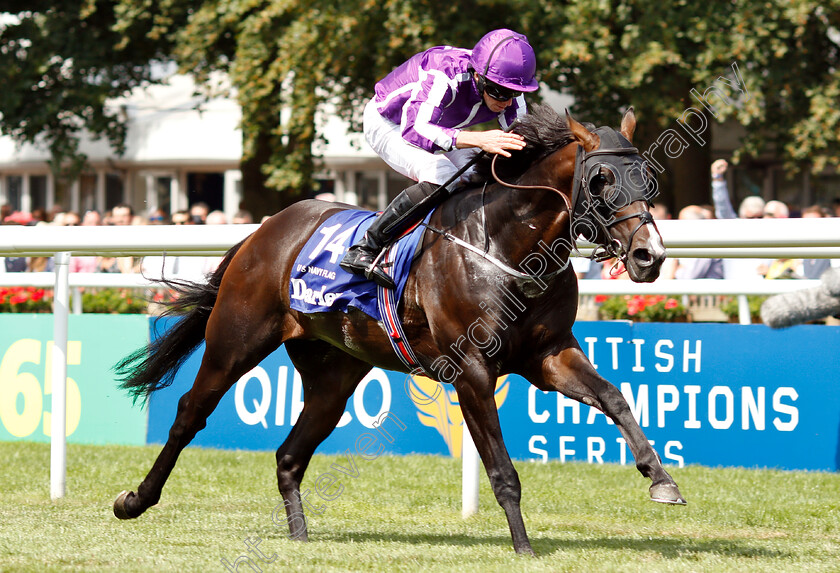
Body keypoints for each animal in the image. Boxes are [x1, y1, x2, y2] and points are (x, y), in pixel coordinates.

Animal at [115, 104, 684, 556]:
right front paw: (523, 546)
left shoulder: (548, 353)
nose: (649, 256)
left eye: (648, 178)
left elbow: (613, 397)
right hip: (235, 339)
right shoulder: (472, 369)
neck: (506, 246)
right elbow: (501, 468)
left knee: (290, 454)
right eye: (601, 179)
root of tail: (266, 229)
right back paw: (134, 500)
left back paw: (299, 536)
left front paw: (661, 479)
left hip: (334, 375)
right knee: (190, 413)